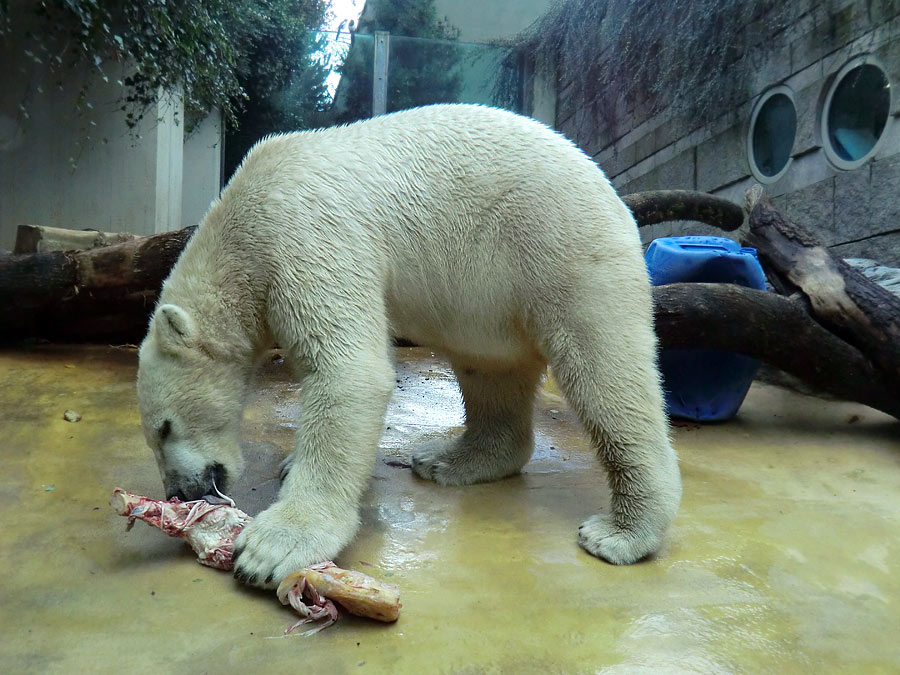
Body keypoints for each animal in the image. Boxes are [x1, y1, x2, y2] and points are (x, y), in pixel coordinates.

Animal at [135, 103, 684, 588]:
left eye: (164, 428)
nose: (180, 492)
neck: (241, 223)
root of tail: (609, 187)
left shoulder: (302, 233)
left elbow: (349, 373)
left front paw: (272, 546)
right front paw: (292, 464)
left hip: (556, 245)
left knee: (604, 370)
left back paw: (622, 531)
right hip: (488, 291)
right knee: (489, 368)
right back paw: (450, 460)